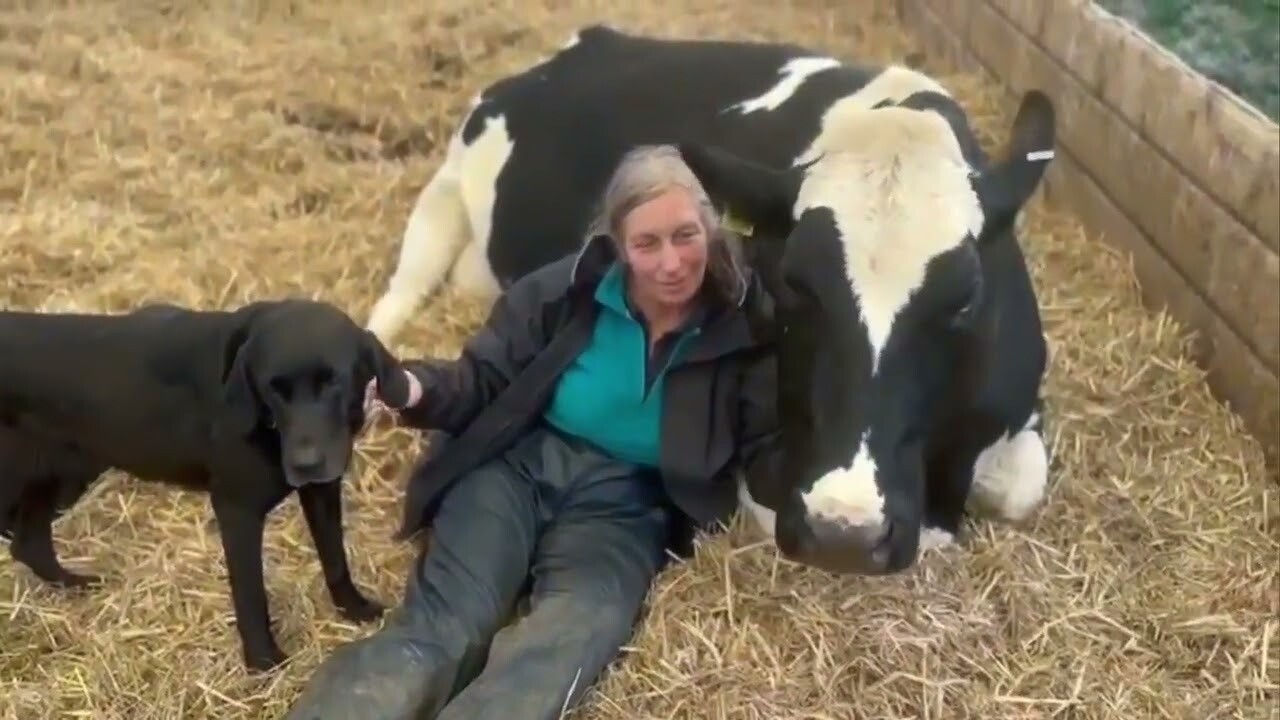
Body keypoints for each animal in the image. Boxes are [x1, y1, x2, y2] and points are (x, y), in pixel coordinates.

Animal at [0, 295, 409, 666]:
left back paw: (75, 583)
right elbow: (250, 593)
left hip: (63, 473)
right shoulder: (237, 509)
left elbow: (335, 557)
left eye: (333, 382)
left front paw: (354, 609)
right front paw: (264, 661)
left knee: (29, 543)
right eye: (273, 388)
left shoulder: (322, 489)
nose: (304, 463)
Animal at [366, 25, 1054, 573]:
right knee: (399, 294)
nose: (845, 534)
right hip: (447, 186)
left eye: (965, 300)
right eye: (793, 283)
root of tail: (591, 41)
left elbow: (1023, 489)